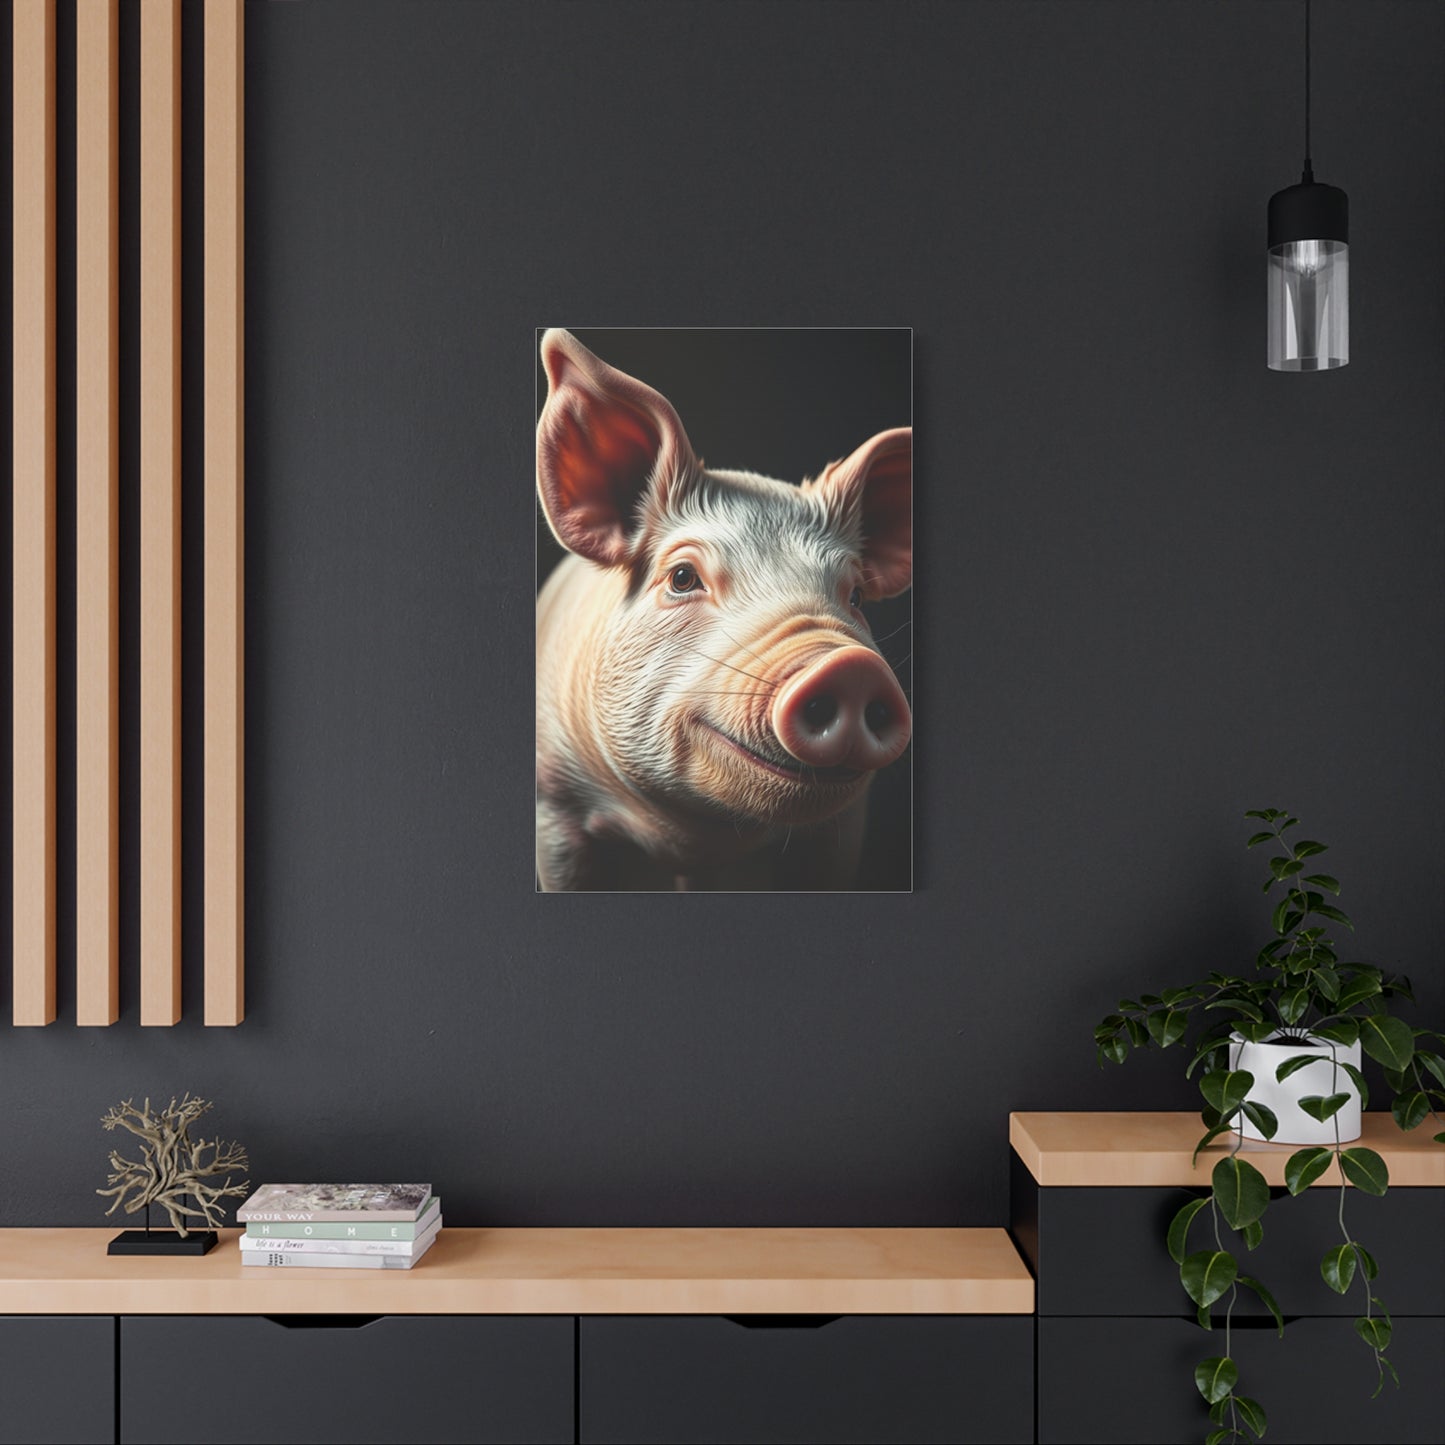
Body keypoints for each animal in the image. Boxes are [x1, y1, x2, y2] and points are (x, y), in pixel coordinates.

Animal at [536, 329, 911, 891]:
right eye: (682, 578)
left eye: (856, 597)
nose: (852, 665)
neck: (693, 843)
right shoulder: (554, 802)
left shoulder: (842, 827)